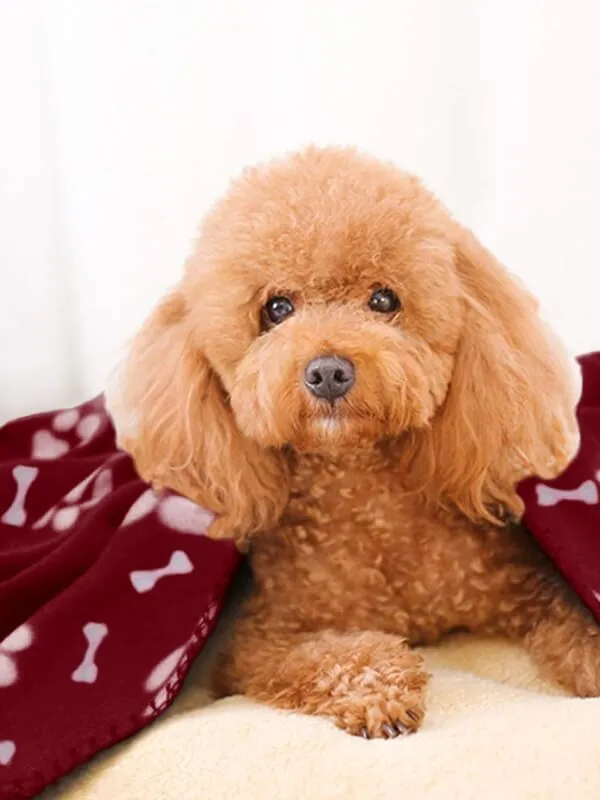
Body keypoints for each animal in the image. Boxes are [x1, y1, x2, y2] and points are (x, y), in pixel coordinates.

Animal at [108, 148, 596, 736]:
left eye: (383, 299)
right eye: (276, 309)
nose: (328, 372)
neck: (366, 497)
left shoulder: (524, 583)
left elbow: (569, 617)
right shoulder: (258, 641)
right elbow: (328, 655)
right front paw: (378, 690)